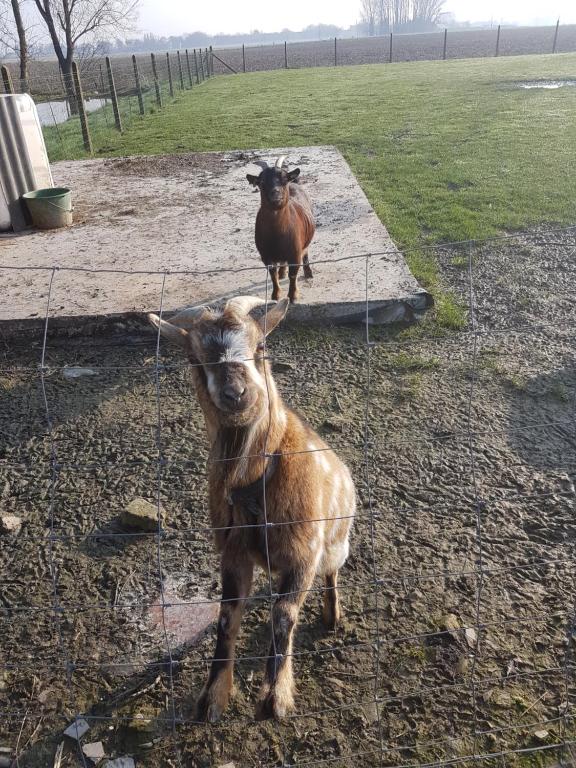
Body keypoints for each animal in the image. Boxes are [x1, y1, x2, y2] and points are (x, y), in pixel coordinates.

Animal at [147, 296, 356, 724]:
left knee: (331, 573)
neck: (255, 481)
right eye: (194, 357)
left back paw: (332, 615)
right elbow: (227, 617)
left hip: (336, 542)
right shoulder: (234, 552)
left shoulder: (304, 552)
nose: (236, 393)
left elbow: (283, 614)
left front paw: (275, 698)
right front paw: (212, 698)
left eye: (260, 346)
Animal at [244, 156, 312, 304]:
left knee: (306, 253)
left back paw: (308, 273)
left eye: (284, 179)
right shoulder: (266, 255)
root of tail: (294, 183)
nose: (275, 193)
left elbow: (293, 275)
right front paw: (275, 295)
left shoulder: (295, 253)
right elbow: (272, 274)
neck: (277, 234)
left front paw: (293, 296)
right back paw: (282, 273)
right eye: (262, 182)